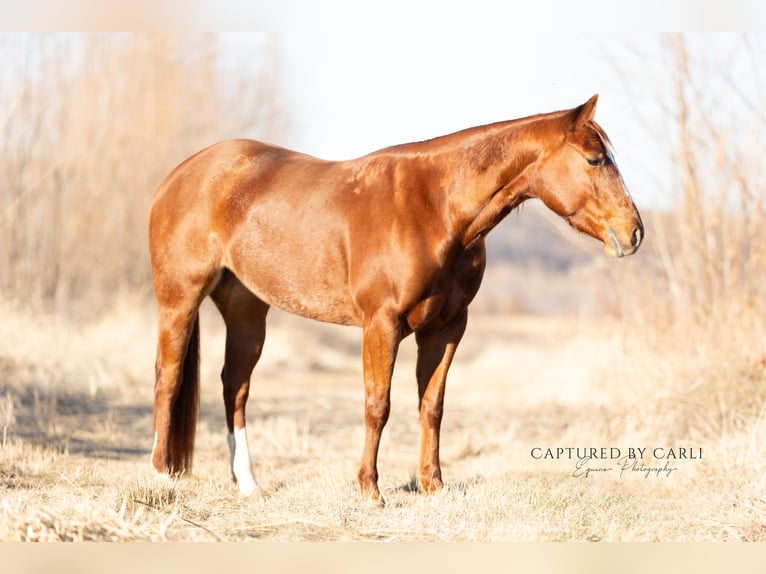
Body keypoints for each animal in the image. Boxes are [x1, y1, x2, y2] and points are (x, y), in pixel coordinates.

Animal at [148, 95, 640, 504]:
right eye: (595, 159)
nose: (634, 232)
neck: (434, 208)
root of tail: (177, 176)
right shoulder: (381, 325)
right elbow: (377, 405)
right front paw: (370, 489)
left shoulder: (446, 328)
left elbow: (432, 406)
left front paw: (433, 485)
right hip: (178, 302)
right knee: (168, 378)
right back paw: (158, 475)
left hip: (247, 312)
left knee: (235, 386)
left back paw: (247, 483)